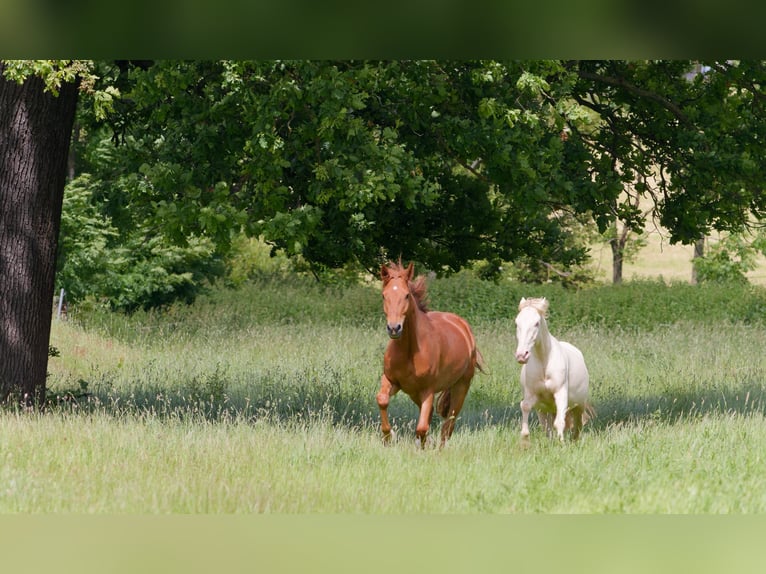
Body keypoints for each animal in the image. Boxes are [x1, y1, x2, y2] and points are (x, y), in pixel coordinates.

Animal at [378, 264, 486, 448]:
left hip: (461, 386)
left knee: (449, 423)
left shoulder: (428, 390)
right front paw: (388, 436)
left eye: (406, 295)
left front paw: (422, 446)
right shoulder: (392, 381)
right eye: (385, 295)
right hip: (414, 393)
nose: (394, 328)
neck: (409, 351)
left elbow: (422, 427)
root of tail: (464, 327)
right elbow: (382, 399)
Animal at [516, 300, 592, 444]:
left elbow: (560, 422)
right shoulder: (532, 395)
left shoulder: (560, 393)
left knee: (577, 425)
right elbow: (525, 406)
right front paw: (525, 437)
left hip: (579, 405)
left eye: (536, 323)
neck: (544, 362)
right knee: (547, 426)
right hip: (545, 409)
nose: (522, 355)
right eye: (517, 323)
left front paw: (561, 443)